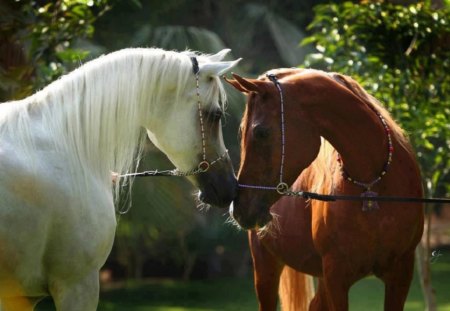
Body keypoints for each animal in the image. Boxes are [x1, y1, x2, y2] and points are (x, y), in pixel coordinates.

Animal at [227, 69, 424, 311]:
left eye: (260, 132)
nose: (239, 208)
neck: (372, 185)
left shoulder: (400, 274)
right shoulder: (336, 278)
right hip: (266, 269)